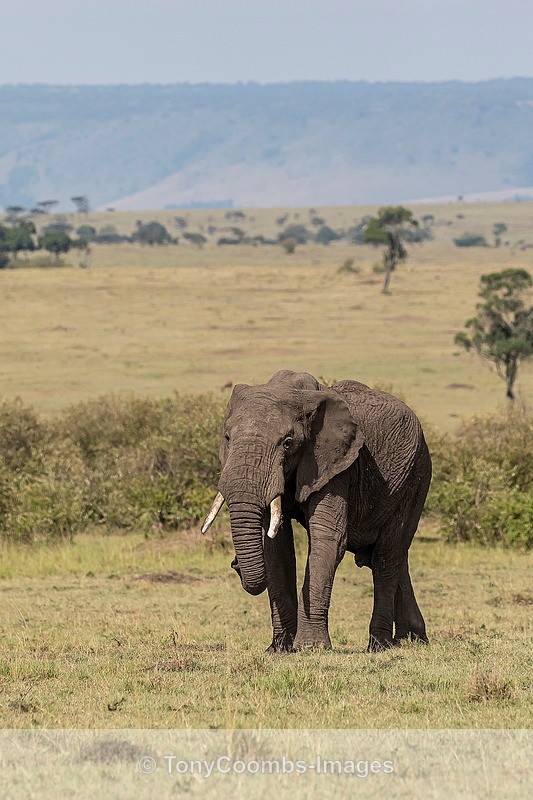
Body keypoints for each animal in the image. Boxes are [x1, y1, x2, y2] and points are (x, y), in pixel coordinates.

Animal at [202, 370, 431, 653]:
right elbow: (275, 546)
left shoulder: (337, 463)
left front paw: (311, 647)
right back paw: (411, 639)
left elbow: (328, 537)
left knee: (387, 556)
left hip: (415, 477)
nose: (234, 563)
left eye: (288, 443)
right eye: (227, 438)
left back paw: (380, 645)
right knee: (395, 557)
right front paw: (279, 648)